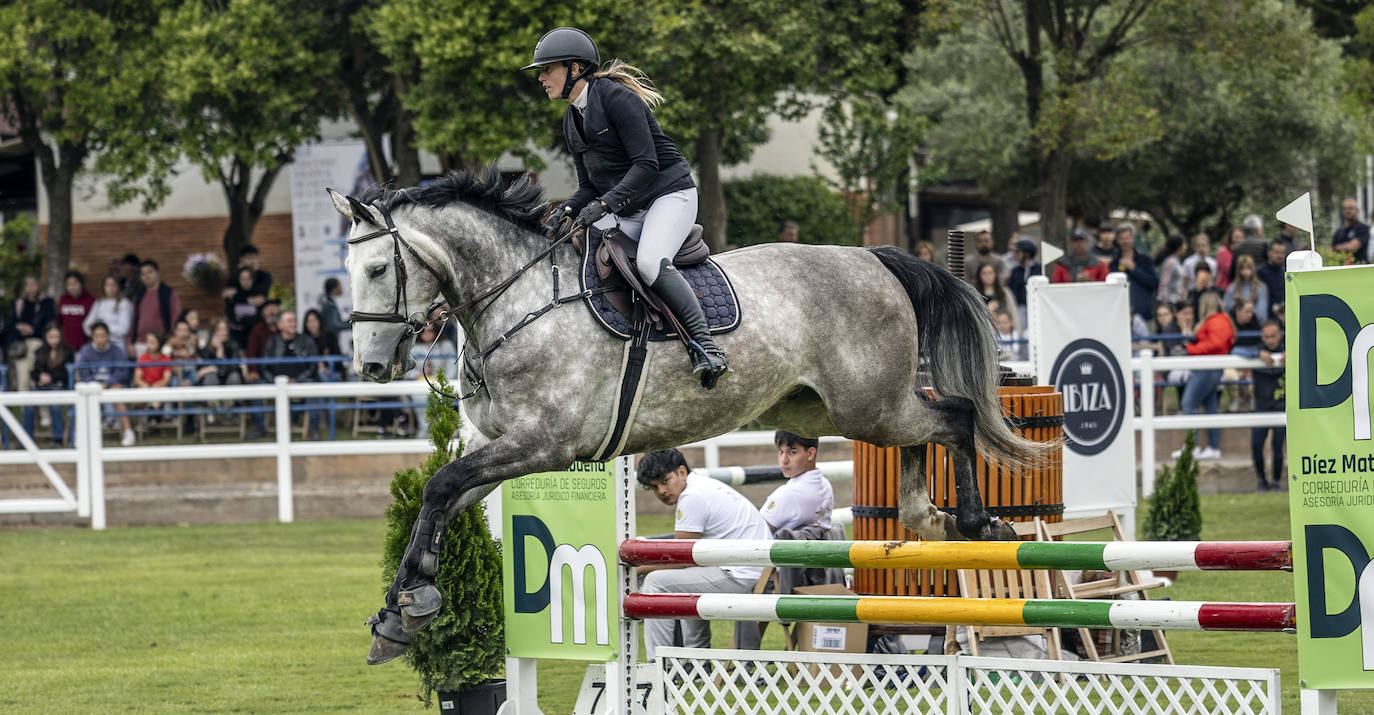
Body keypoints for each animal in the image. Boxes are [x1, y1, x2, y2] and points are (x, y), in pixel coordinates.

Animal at [329, 169, 1038, 665]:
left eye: (377, 268)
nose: (372, 367)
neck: (518, 297)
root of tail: (875, 257)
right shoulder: (500, 444)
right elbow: (441, 497)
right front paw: (402, 612)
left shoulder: (545, 442)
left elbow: (441, 487)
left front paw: (409, 603)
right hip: (836, 407)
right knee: (924, 433)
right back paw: (928, 517)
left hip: (869, 404)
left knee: (955, 416)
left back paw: (975, 521)